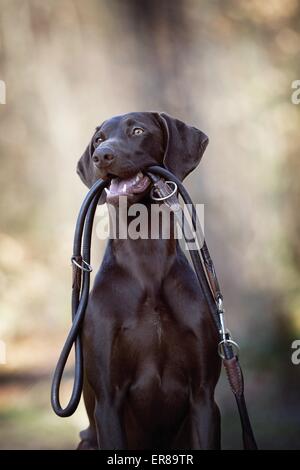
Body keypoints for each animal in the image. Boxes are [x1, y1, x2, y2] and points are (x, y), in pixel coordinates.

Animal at [75, 112, 220, 450]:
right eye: (99, 139)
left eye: (138, 131)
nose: (102, 156)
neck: (146, 257)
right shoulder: (108, 402)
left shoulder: (204, 397)